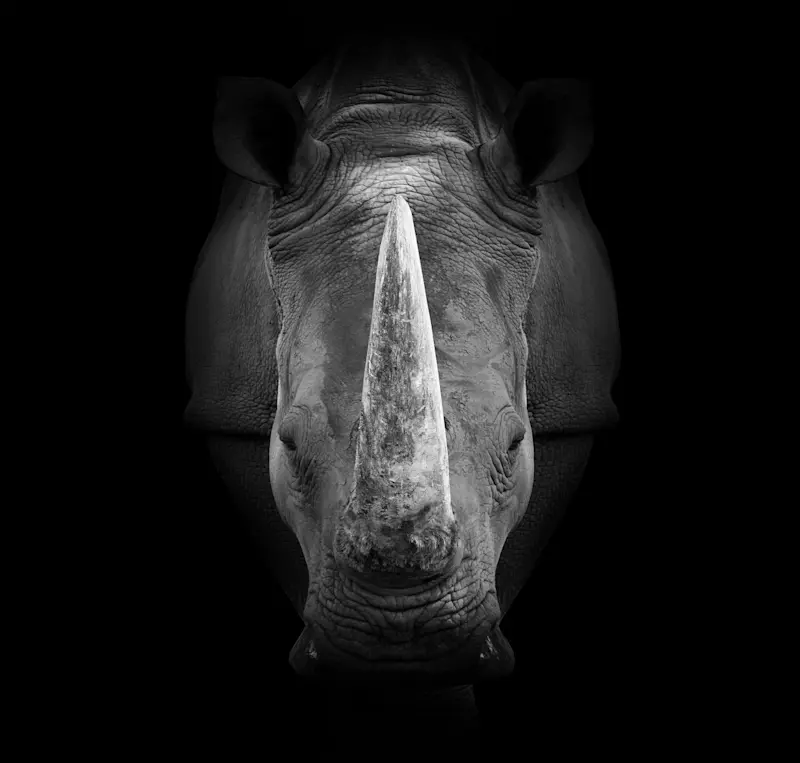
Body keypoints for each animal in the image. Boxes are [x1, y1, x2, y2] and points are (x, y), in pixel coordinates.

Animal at [184, 36, 620, 734]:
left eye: (517, 442)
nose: (402, 642)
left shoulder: (573, 415)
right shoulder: (228, 417)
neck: (398, 129)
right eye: (286, 442)